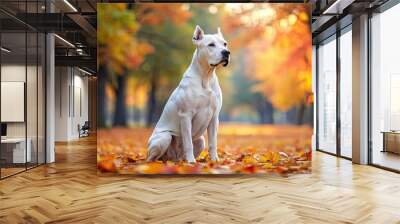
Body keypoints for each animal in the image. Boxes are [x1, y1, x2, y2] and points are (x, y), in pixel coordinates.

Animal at [147, 25, 230, 163]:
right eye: (211, 45)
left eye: (225, 44)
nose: (226, 52)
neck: (206, 76)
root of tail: (173, 158)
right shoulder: (185, 115)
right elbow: (188, 143)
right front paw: (192, 162)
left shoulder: (214, 117)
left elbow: (213, 143)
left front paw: (215, 161)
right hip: (164, 137)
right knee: (151, 158)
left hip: (200, 140)